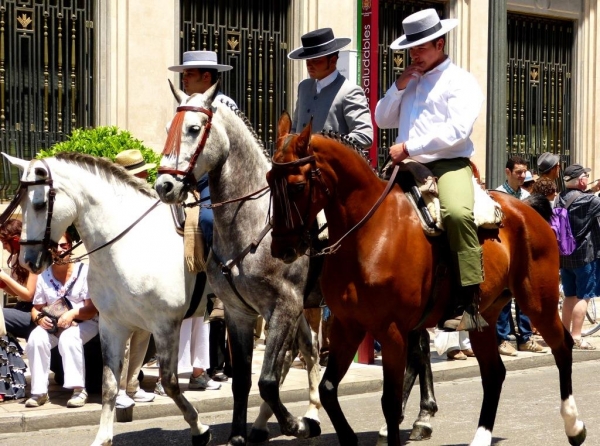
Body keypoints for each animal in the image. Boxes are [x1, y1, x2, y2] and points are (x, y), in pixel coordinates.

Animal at [2, 153, 211, 446]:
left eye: (40, 204)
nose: (28, 261)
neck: (130, 244)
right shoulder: (113, 325)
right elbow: (110, 384)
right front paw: (103, 437)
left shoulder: (165, 326)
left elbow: (170, 383)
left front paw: (199, 428)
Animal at [155, 82, 324, 444]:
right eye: (168, 129)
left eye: (194, 129)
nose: (164, 185)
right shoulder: (239, 312)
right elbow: (244, 381)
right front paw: (237, 434)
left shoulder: (284, 306)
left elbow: (268, 380)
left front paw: (293, 424)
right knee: (309, 350)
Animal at [268, 112, 584, 446]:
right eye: (268, 180)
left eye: (298, 186)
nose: (282, 249)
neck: (368, 233)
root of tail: (528, 208)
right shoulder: (347, 325)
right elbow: (328, 389)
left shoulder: (391, 330)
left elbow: (390, 401)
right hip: (485, 315)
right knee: (494, 372)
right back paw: (481, 436)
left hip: (539, 302)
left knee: (562, 346)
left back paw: (574, 425)